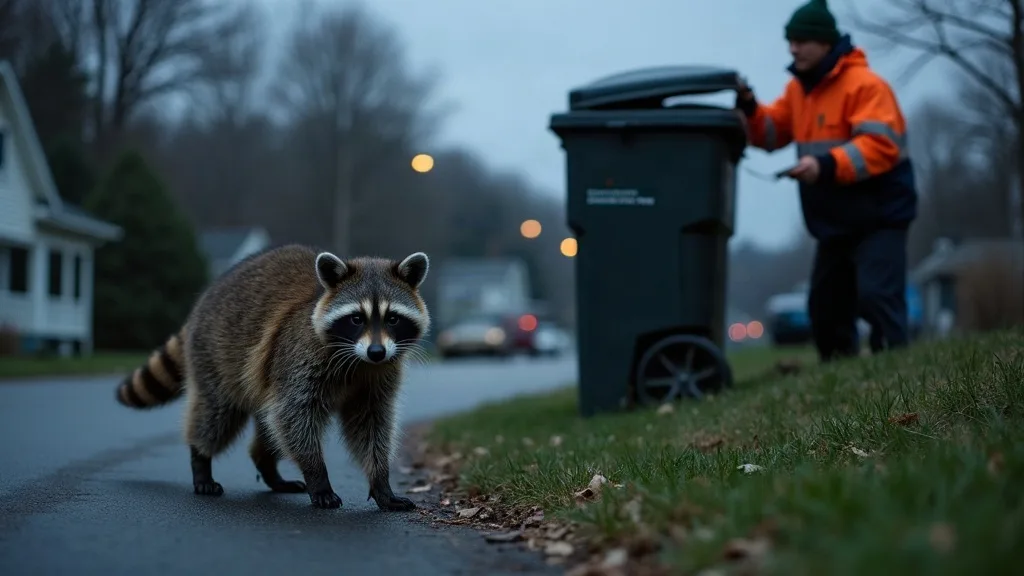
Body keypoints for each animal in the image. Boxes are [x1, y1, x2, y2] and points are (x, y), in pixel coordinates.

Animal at [114, 244, 431, 511]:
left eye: (392, 318)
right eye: (356, 318)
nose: (376, 351)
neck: (359, 359)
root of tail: (207, 296)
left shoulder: (380, 375)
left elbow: (372, 424)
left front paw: (380, 480)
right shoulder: (298, 356)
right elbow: (294, 415)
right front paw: (318, 475)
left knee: (267, 426)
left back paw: (268, 468)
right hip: (217, 356)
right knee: (218, 413)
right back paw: (201, 459)